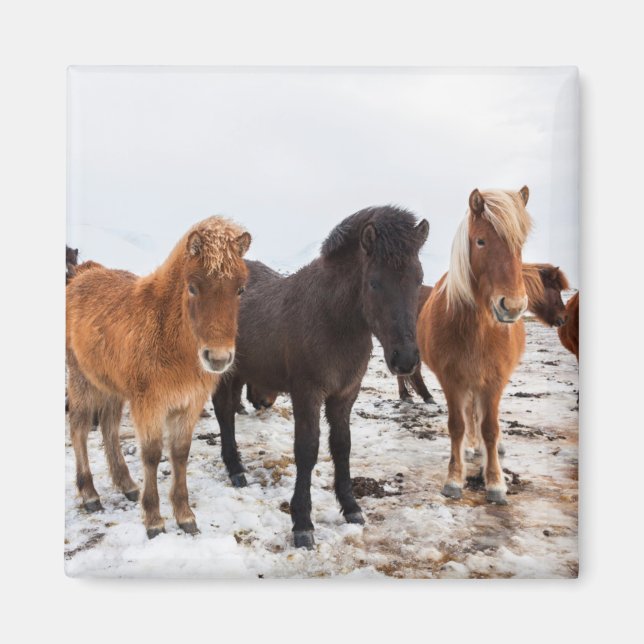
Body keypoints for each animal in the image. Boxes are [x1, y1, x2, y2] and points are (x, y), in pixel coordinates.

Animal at [66, 217, 251, 538]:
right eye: (193, 287)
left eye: (239, 289)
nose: (217, 358)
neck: (168, 334)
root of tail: (81, 275)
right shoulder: (149, 404)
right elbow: (152, 455)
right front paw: (154, 520)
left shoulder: (189, 404)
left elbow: (179, 453)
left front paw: (185, 515)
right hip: (82, 381)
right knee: (79, 429)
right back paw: (89, 494)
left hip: (111, 387)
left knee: (109, 428)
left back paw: (126, 485)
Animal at [212, 206, 429, 548]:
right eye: (374, 283)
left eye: (418, 279)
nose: (405, 359)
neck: (332, 319)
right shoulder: (307, 393)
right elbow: (307, 450)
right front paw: (302, 523)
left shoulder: (345, 394)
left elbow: (342, 445)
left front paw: (351, 507)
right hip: (225, 372)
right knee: (223, 413)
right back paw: (235, 470)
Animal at [417, 187, 532, 505]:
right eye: (481, 241)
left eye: (520, 244)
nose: (512, 306)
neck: (477, 330)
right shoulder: (452, 380)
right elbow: (457, 425)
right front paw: (454, 479)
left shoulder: (493, 381)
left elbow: (490, 429)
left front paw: (495, 482)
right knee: (470, 416)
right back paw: (471, 446)